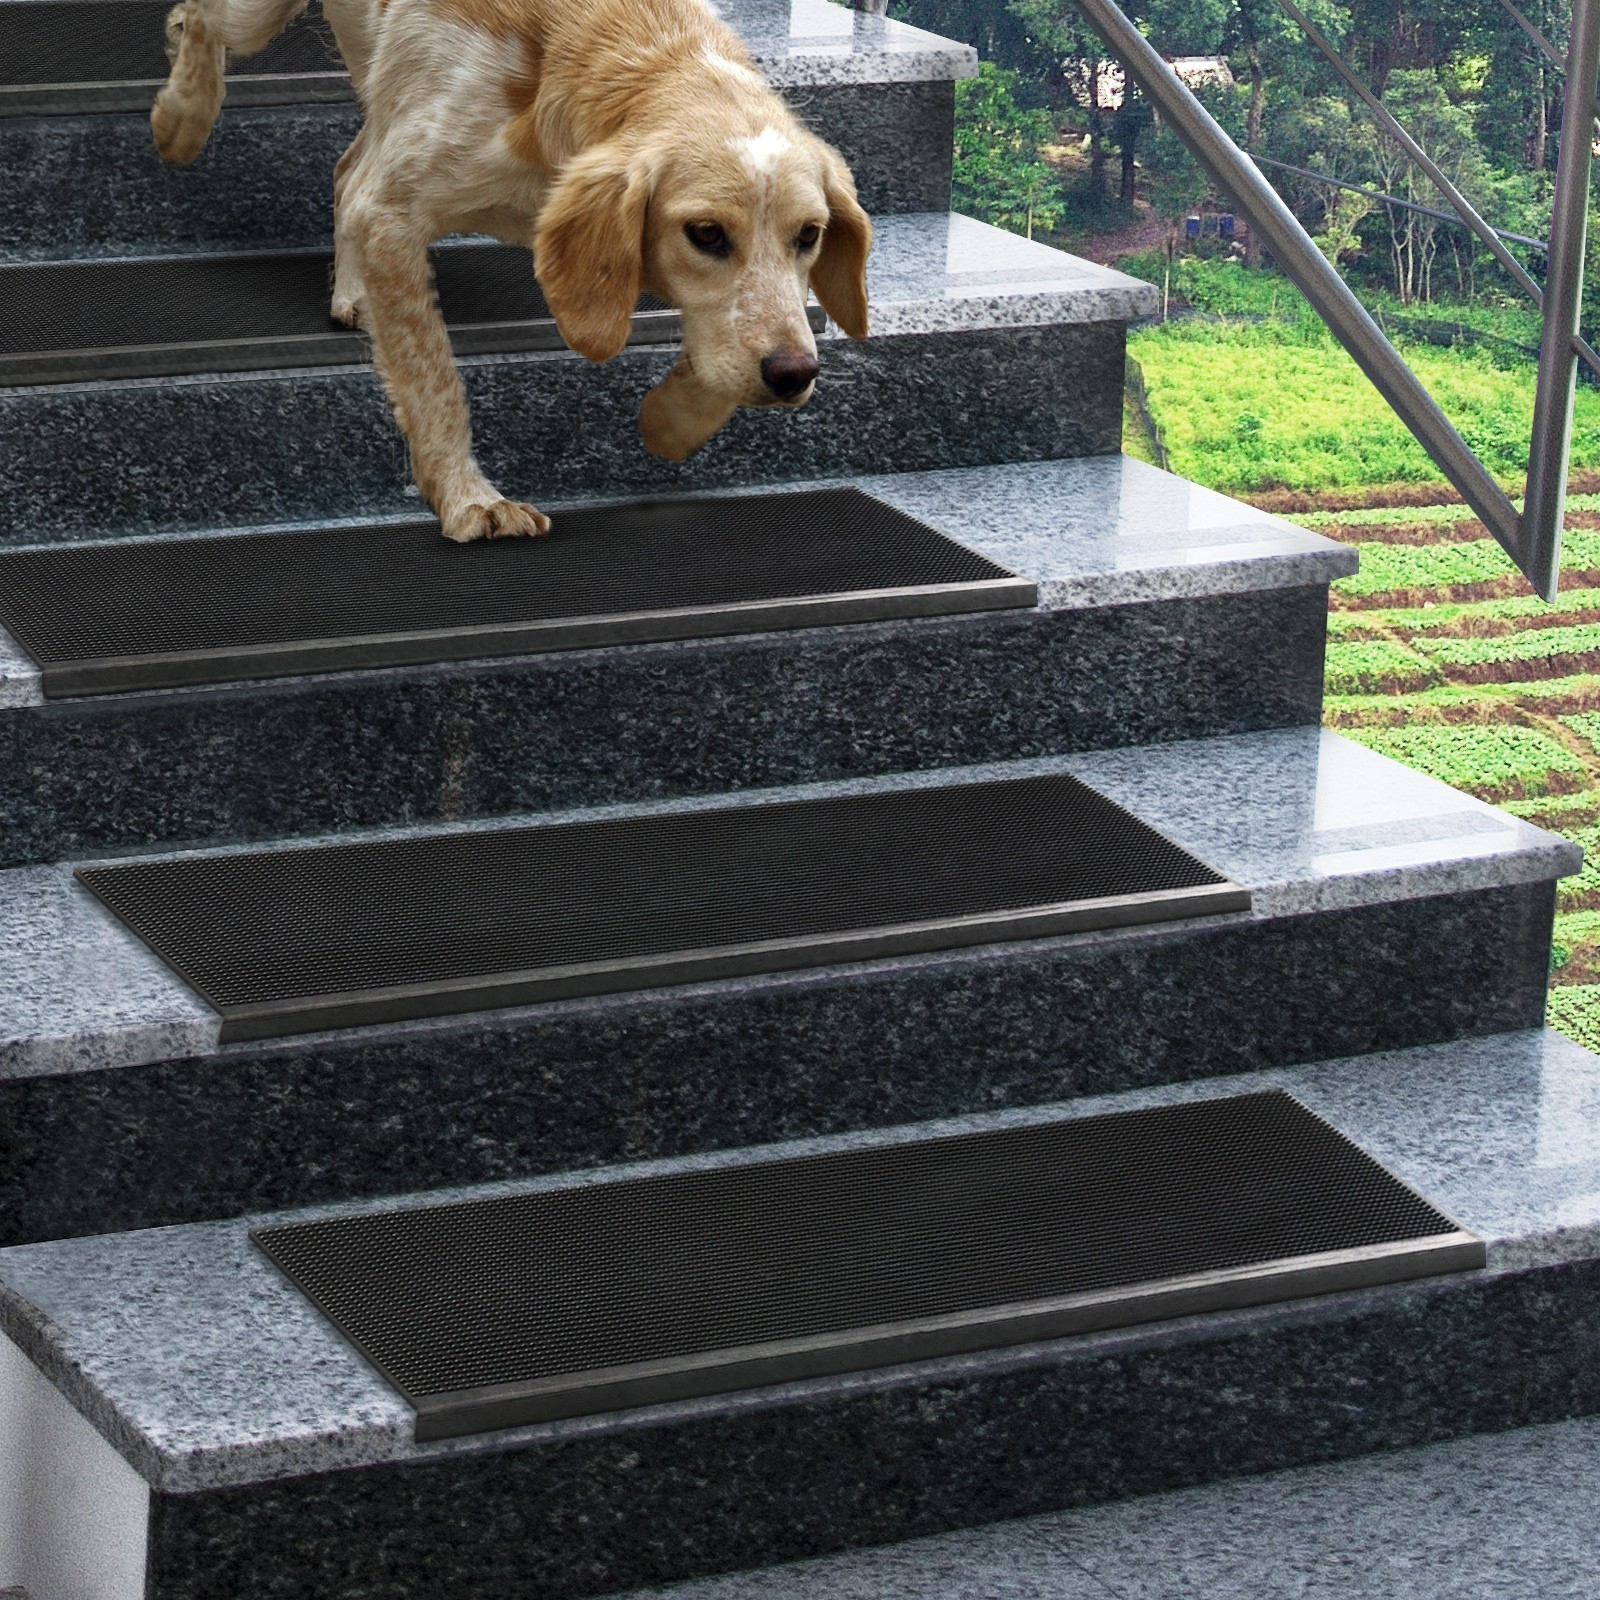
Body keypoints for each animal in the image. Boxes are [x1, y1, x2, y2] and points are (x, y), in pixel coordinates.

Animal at [151, 0, 876, 540]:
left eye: (809, 236)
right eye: (706, 234)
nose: (794, 377)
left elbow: (728, 354)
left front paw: (669, 422)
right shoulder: (395, 214)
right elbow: (432, 379)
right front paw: (471, 500)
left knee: (347, 170)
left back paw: (352, 291)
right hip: (262, 20)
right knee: (200, 18)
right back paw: (182, 115)